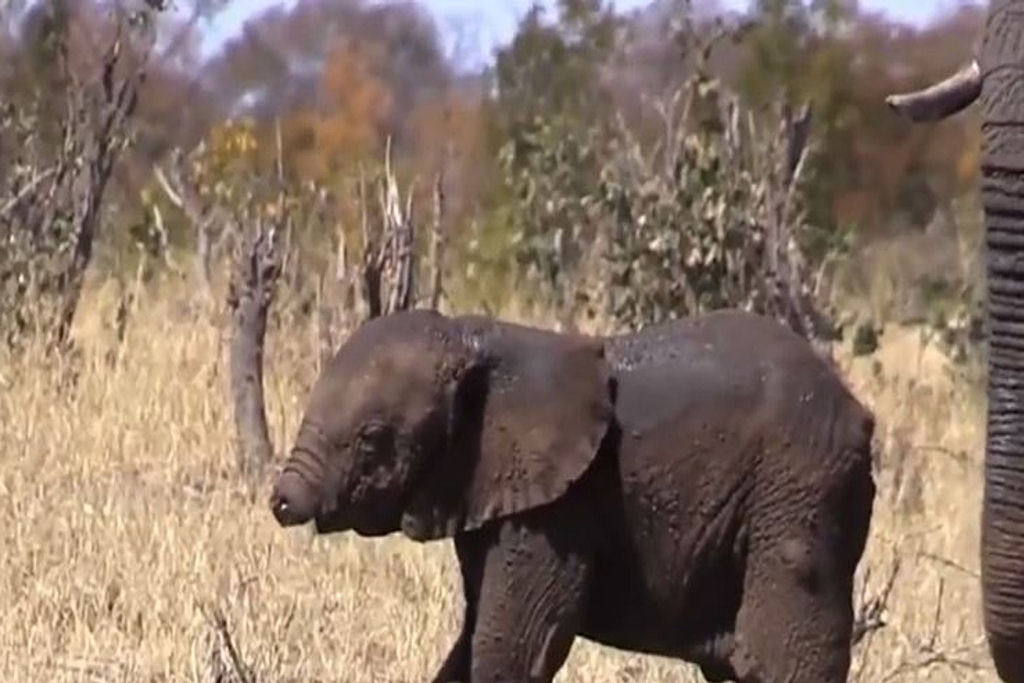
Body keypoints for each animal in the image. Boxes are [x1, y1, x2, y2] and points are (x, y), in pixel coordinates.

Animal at [268, 308, 876, 683]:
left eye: (372, 440)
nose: (281, 502)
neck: (479, 337)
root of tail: (859, 413)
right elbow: (473, 635)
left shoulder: (560, 508)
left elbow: (514, 643)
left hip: (798, 491)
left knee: (778, 657)